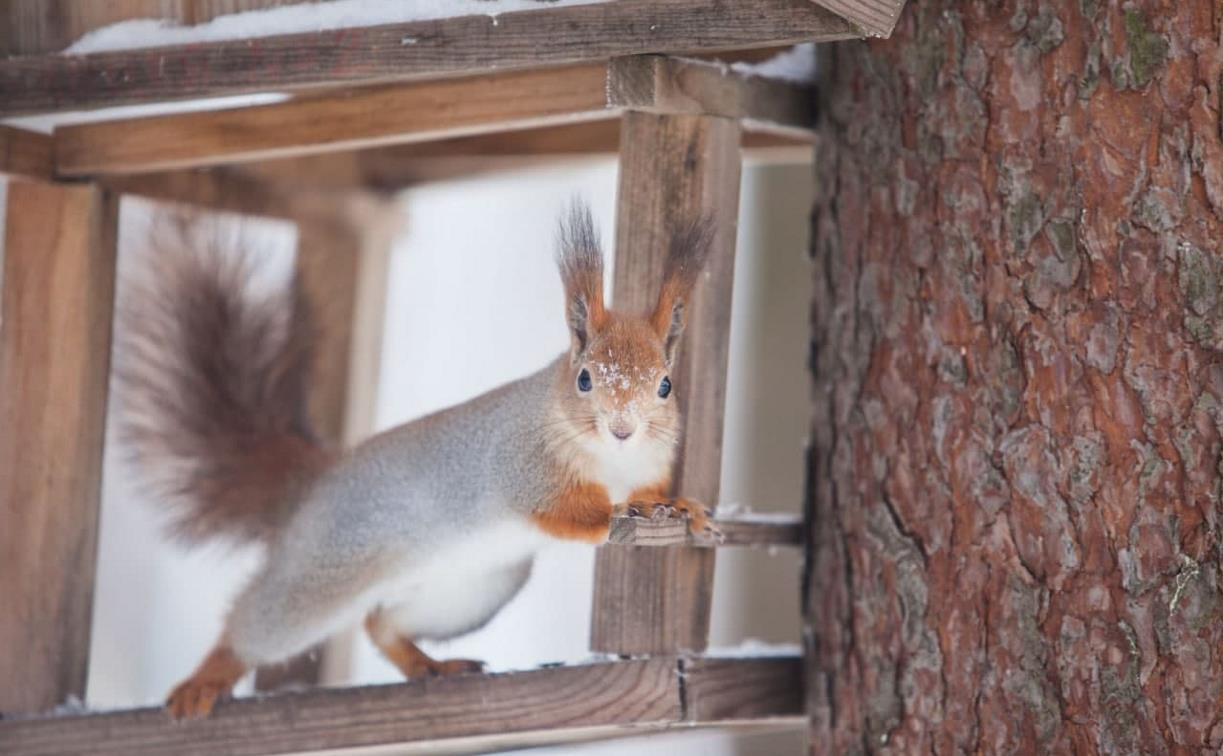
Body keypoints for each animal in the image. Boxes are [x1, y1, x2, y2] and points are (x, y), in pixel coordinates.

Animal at [116, 201, 714, 719]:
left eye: (665, 385)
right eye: (586, 378)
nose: (622, 428)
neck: (611, 461)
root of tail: (315, 484)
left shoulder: (647, 465)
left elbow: (652, 493)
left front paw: (679, 506)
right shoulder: (523, 468)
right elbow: (563, 512)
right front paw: (613, 515)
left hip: (471, 591)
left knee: (381, 623)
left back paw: (432, 665)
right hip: (324, 568)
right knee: (260, 624)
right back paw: (206, 680)